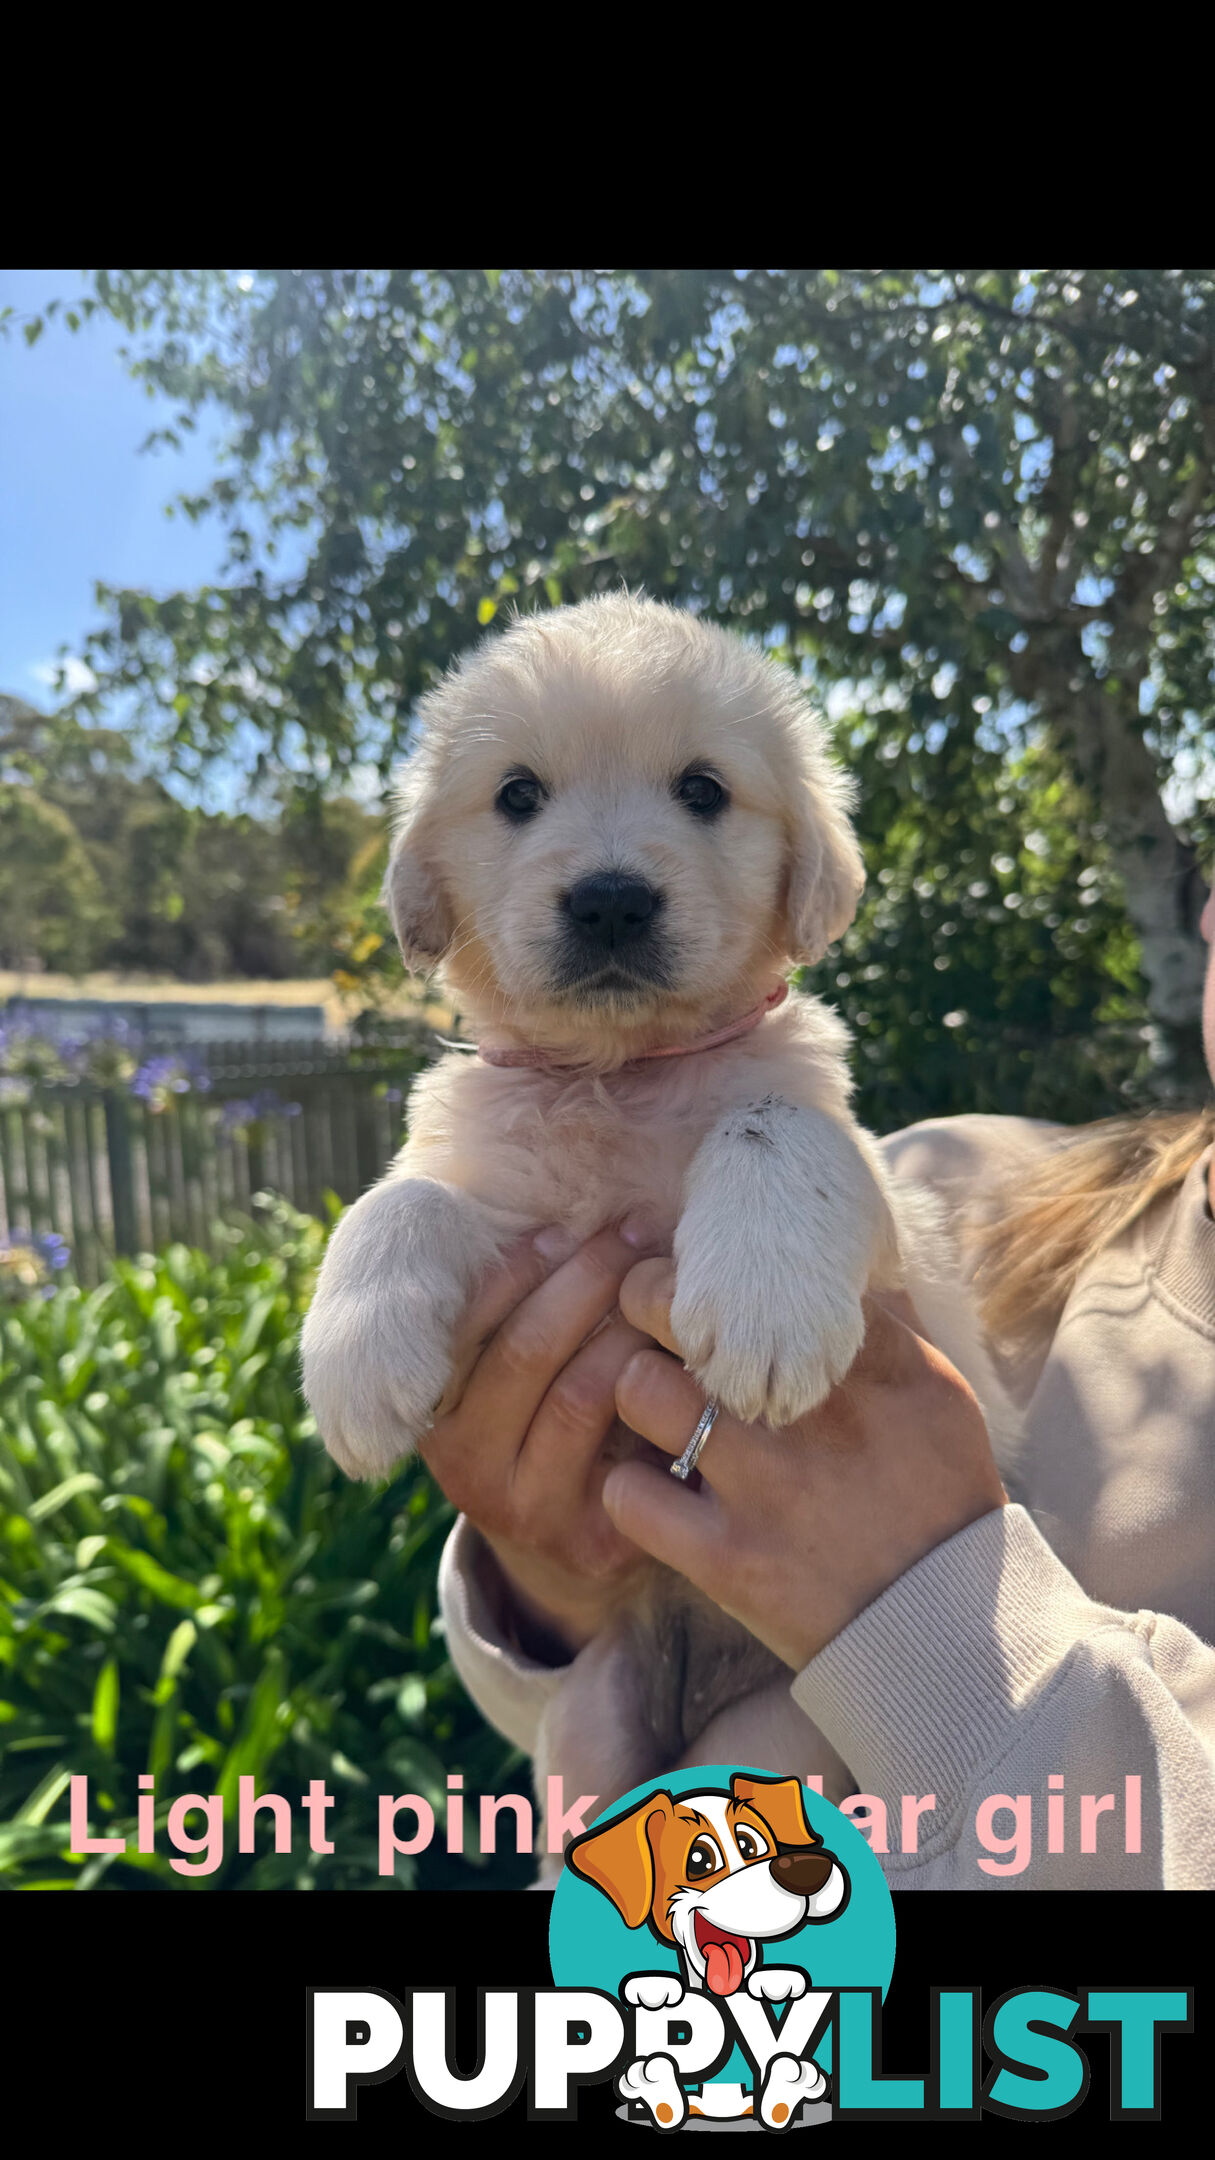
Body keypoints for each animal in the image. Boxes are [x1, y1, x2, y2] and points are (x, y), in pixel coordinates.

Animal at [300, 591, 925, 1805]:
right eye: (516, 796)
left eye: (704, 790)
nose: (609, 902)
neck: (617, 1072)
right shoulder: (497, 1194)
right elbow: (396, 1201)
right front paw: (354, 1367)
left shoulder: (876, 1193)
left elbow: (772, 1124)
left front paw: (766, 1315)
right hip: (594, 1712)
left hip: (787, 1726)